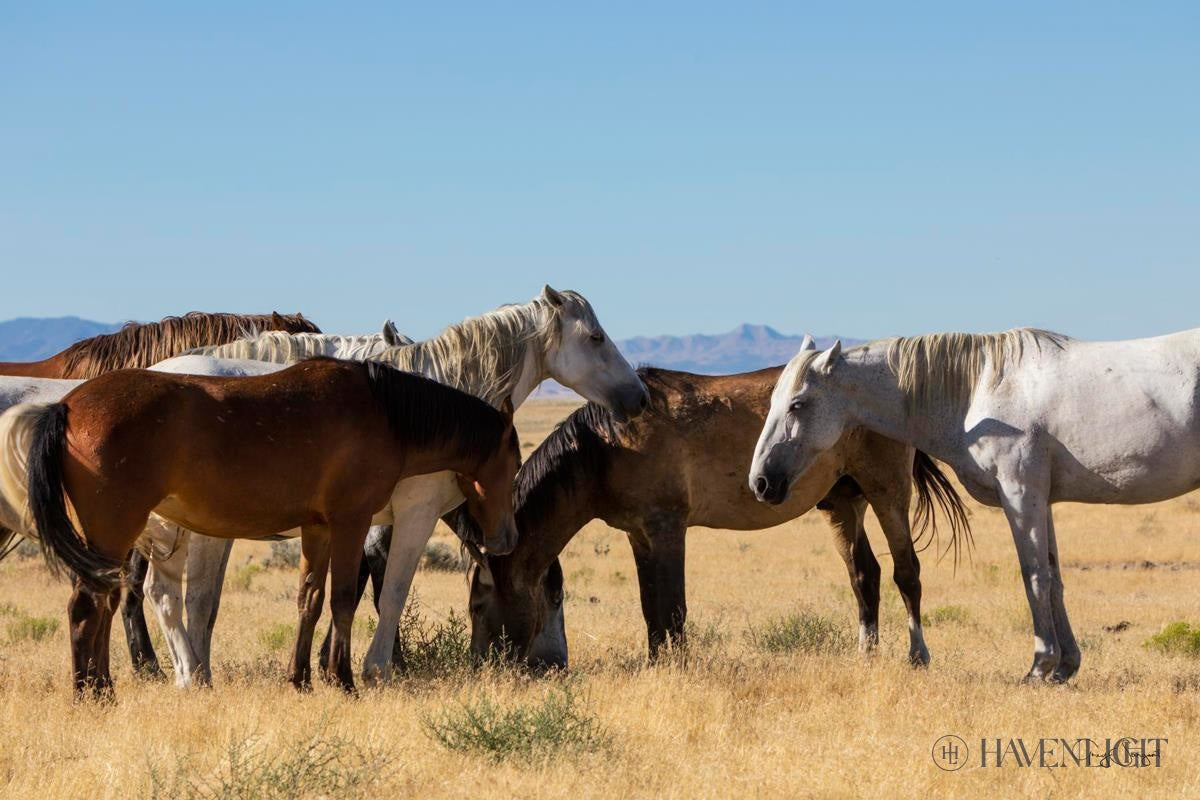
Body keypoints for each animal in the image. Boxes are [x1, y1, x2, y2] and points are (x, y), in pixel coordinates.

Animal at [2, 359, 523, 695]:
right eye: (513, 461)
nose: (507, 539)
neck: (384, 412)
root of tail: (67, 406)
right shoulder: (350, 521)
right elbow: (343, 600)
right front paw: (343, 680)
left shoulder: (318, 528)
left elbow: (310, 598)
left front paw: (302, 679)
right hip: (116, 532)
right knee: (87, 608)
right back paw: (92, 694)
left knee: (104, 606)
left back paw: (103, 687)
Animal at [453, 352, 969, 666]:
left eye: (477, 604)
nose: (478, 666)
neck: (607, 446)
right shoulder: (638, 534)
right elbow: (651, 609)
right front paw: (656, 664)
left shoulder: (667, 528)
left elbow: (673, 608)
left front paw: (677, 667)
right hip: (842, 502)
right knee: (865, 575)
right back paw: (866, 656)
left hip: (887, 491)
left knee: (907, 571)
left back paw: (917, 657)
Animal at [748, 328, 1200, 686]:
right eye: (773, 401)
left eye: (798, 404)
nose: (761, 482)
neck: (978, 391)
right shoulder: (1041, 500)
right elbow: (1053, 577)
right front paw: (1064, 666)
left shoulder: (1020, 495)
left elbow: (1034, 578)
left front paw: (1039, 666)